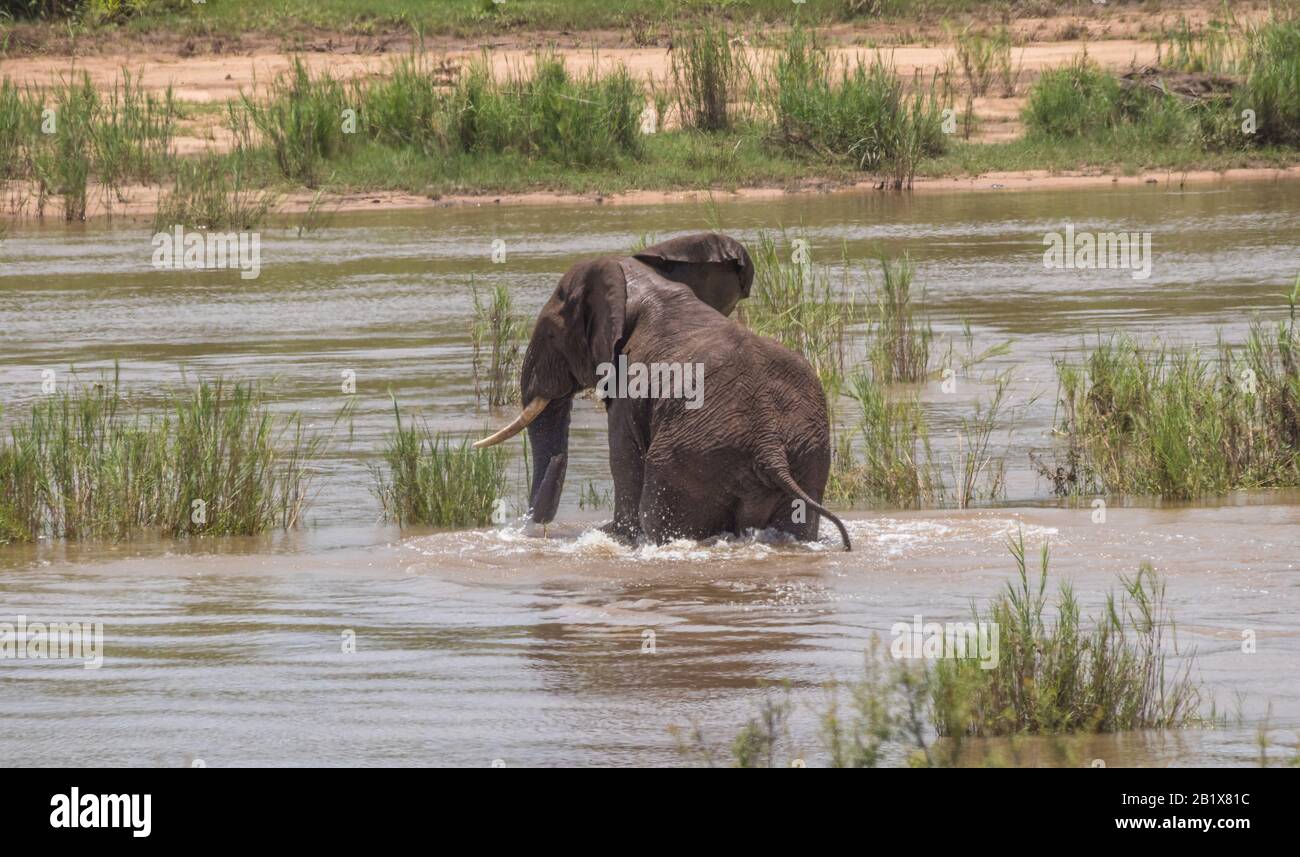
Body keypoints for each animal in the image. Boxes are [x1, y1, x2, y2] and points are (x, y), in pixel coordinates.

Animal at [478, 231, 852, 548]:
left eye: (551, 334)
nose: (533, 528)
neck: (644, 285)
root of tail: (769, 445)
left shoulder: (628, 385)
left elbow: (624, 459)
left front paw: (616, 535)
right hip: (808, 455)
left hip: (689, 460)